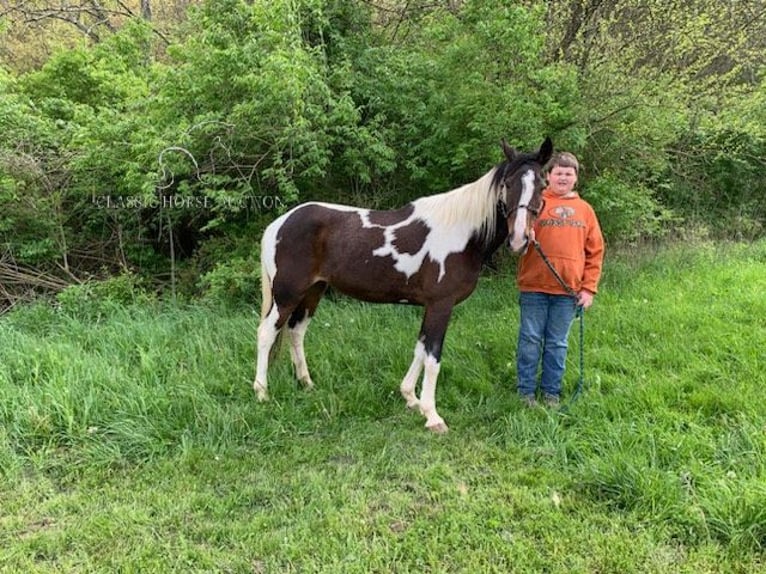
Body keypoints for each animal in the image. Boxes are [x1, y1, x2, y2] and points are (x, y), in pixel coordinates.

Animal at [256, 140, 552, 434]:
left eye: (542, 184)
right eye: (508, 184)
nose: (519, 239)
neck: (462, 233)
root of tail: (277, 225)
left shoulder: (430, 306)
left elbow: (420, 349)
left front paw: (412, 399)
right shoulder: (441, 304)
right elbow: (432, 357)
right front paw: (433, 416)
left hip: (313, 292)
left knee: (296, 332)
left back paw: (306, 383)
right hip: (287, 295)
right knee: (266, 332)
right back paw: (262, 393)